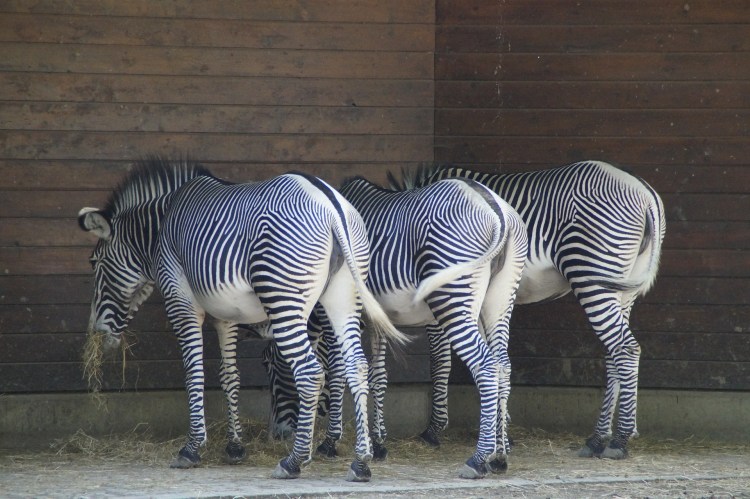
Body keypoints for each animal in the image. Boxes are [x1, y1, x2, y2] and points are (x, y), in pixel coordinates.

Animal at [77, 157, 408, 481]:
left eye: (94, 262)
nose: (97, 332)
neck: (162, 227)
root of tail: (331, 206)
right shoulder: (226, 316)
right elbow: (230, 376)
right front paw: (234, 447)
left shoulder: (181, 299)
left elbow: (193, 373)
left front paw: (192, 448)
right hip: (343, 298)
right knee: (357, 366)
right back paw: (361, 463)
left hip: (283, 297)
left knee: (311, 373)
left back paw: (294, 461)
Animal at [263, 175, 528, 479]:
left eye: (270, 364)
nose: (275, 434)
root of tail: (494, 208)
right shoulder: (377, 321)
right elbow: (378, 375)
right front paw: (378, 444)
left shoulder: (333, 313)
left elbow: (338, 370)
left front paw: (332, 442)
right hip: (498, 302)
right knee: (503, 366)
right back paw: (500, 457)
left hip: (454, 295)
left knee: (486, 366)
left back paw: (478, 459)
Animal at [412, 160, 666, 460]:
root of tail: (644, 191)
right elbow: (493, 357)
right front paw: (502, 431)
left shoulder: (444, 293)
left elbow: (440, 360)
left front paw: (435, 429)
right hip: (625, 287)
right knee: (615, 351)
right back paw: (598, 439)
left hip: (593, 273)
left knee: (626, 348)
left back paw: (619, 440)